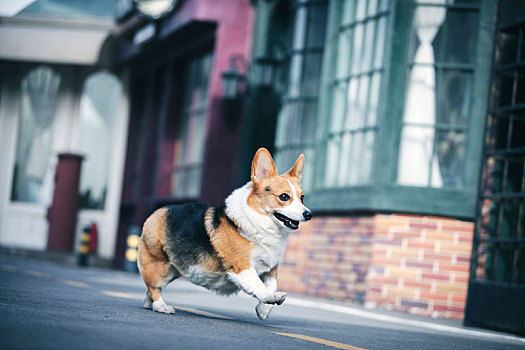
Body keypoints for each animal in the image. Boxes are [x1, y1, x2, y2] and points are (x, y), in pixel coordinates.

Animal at [138, 148, 312, 320]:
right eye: (284, 197)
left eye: (302, 198)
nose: (308, 214)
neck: (261, 223)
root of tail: (157, 211)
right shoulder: (242, 266)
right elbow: (258, 285)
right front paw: (271, 298)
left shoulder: (270, 269)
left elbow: (271, 284)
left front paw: (263, 310)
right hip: (159, 266)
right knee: (154, 287)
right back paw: (160, 306)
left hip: (176, 268)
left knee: (151, 289)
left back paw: (149, 304)